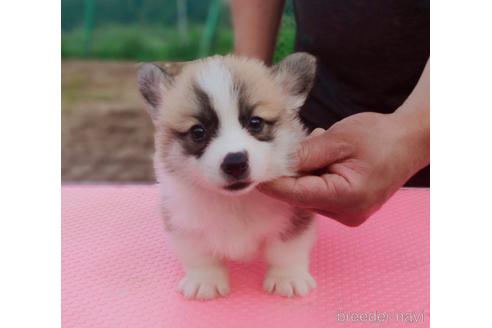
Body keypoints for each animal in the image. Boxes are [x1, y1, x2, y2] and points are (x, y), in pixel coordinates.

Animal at [136, 52, 318, 300]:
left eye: (255, 122)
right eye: (198, 131)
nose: (235, 162)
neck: (234, 202)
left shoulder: (295, 217)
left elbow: (286, 251)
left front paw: (287, 278)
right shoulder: (183, 224)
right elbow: (200, 256)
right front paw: (205, 281)